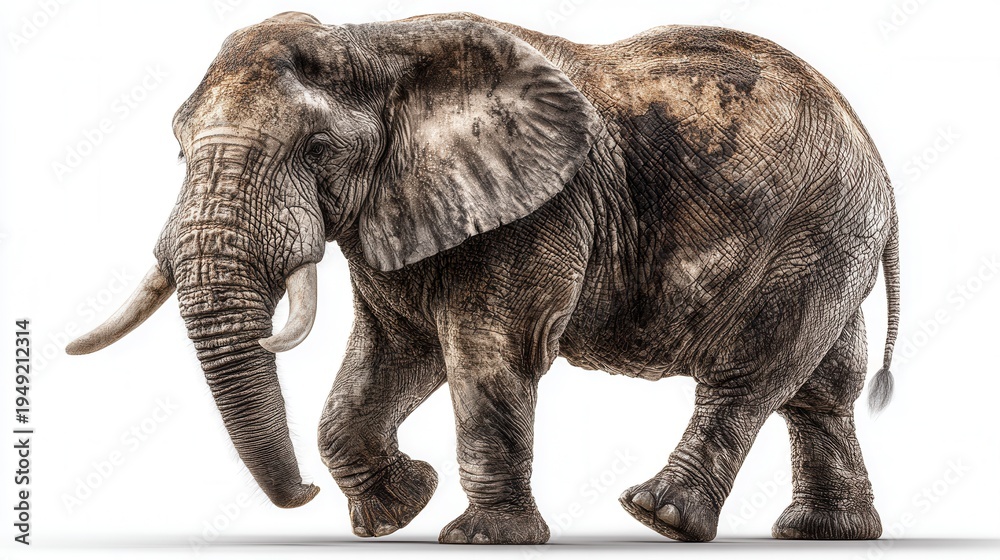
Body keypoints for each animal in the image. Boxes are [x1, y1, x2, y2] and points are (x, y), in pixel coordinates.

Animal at [67, 11, 900, 544]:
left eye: (315, 150)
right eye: (179, 151)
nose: (299, 495)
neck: (375, 46)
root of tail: (877, 161)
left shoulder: (539, 210)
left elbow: (488, 353)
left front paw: (479, 537)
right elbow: (395, 354)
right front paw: (398, 512)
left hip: (812, 231)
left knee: (751, 374)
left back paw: (657, 517)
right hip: (834, 241)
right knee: (824, 391)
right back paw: (824, 533)